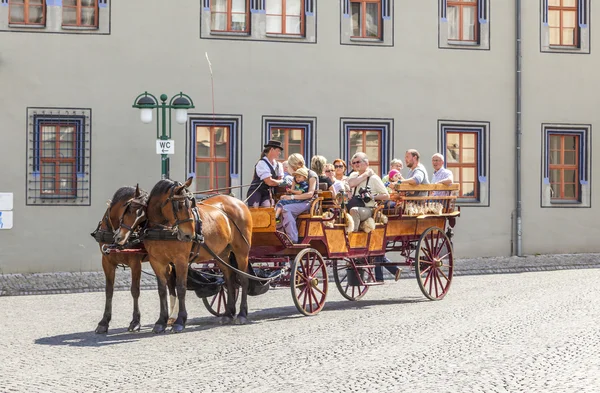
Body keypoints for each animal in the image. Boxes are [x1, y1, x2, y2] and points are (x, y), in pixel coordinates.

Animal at [91, 185, 149, 332]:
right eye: (129, 209)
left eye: (143, 218)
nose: (121, 238)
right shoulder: (107, 262)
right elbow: (109, 291)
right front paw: (104, 321)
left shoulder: (136, 263)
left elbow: (135, 291)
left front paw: (135, 321)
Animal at [115, 178, 253, 330]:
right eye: (128, 209)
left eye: (189, 204)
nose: (189, 235)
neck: (162, 230)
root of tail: (239, 202)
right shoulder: (156, 261)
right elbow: (162, 290)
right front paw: (161, 321)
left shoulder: (180, 260)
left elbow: (181, 287)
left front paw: (180, 320)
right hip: (221, 254)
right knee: (229, 279)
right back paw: (228, 313)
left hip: (241, 252)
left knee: (244, 279)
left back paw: (242, 314)